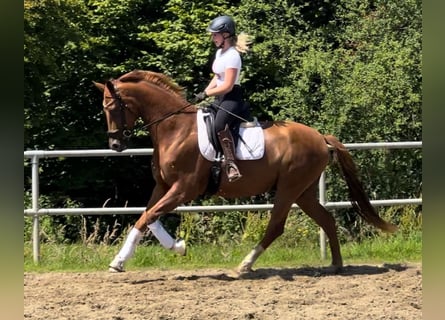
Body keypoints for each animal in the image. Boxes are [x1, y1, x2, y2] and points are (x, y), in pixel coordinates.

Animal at [93, 69, 396, 272]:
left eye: (112, 107)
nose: (115, 144)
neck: (175, 129)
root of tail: (320, 137)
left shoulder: (184, 189)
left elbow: (147, 217)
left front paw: (122, 261)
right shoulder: (164, 186)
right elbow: (148, 216)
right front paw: (172, 247)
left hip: (289, 189)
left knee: (276, 226)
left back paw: (245, 264)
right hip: (304, 192)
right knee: (327, 220)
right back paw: (336, 264)